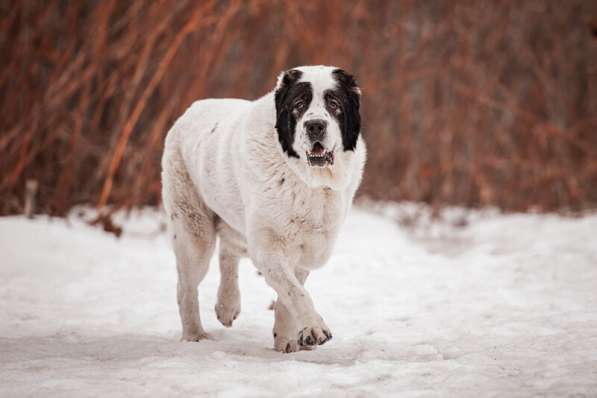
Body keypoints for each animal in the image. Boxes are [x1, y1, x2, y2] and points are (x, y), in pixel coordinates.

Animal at [163, 66, 368, 354]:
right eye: (299, 105)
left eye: (334, 104)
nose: (315, 125)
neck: (307, 180)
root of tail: (191, 110)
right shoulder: (269, 245)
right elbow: (296, 292)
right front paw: (314, 328)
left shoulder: (306, 247)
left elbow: (289, 293)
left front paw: (286, 339)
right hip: (194, 233)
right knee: (186, 286)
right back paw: (195, 336)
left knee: (228, 252)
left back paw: (227, 305)